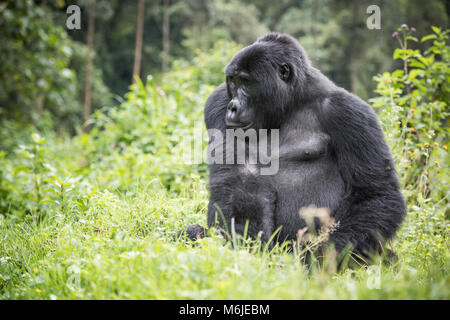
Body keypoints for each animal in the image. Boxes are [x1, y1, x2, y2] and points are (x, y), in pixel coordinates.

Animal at [180, 32, 408, 262]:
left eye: (246, 81)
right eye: (233, 82)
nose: (233, 106)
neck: (291, 101)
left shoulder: (349, 111)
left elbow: (375, 193)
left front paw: (318, 259)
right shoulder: (219, 99)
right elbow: (240, 180)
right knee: (191, 232)